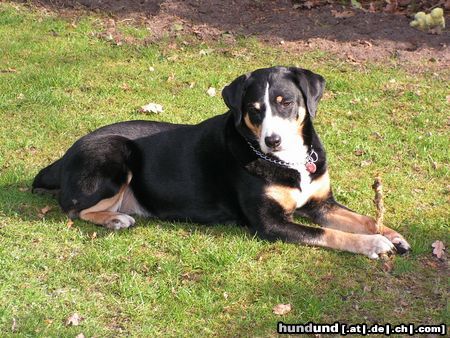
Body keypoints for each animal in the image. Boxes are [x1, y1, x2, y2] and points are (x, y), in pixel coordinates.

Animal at [32, 67, 412, 260]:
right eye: (254, 110)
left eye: (285, 102)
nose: (272, 140)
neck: (287, 161)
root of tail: (63, 157)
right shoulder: (270, 223)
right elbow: (330, 234)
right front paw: (373, 245)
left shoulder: (322, 204)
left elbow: (363, 219)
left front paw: (392, 234)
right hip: (115, 152)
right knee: (74, 208)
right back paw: (114, 219)